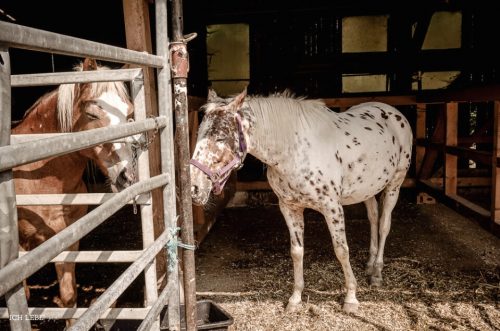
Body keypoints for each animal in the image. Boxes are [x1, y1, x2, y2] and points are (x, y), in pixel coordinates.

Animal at [11, 59, 136, 314]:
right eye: (91, 114)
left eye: (129, 113)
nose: (126, 176)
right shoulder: (21, 252)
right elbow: (25, 298)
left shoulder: (67, 239)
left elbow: (69, 297)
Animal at [189, 88, 412, 314]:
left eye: (221, 137)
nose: (194, 187)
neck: (294, 151)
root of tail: (394, 113)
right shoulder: (290, 207)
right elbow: (297, 252)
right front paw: (295, 298)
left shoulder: (332, 208)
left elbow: (341, 250)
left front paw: (351, 297)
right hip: (367, 190)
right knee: (373, 218)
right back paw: (369, 264)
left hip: (394, 185)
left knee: (384, 225)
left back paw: (377, 273)